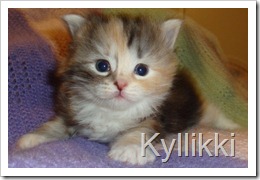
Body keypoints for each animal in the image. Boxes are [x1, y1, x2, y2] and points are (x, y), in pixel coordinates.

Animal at [17, 12, 239, 165]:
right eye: (102, 66)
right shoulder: (72, 110)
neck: (112, 113)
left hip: (194, 106)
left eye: (141, 69)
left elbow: (140, 129)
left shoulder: (155, 115)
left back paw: (231, 126)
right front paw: (31, 139)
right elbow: (57, 124)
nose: (121, 85)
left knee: (211, 112)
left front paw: (128, 149)